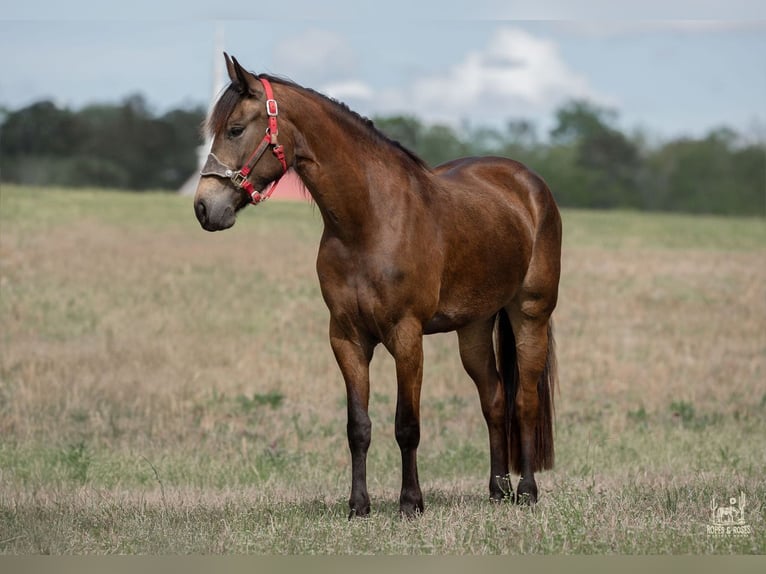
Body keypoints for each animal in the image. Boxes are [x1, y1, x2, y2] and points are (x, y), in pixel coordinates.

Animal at [194, 54, 561, 518]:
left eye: (236, 129)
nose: (204, 207)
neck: (368, 221)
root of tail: (528, 183)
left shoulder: (407, 337)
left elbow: (407, 425)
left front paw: (411, 503)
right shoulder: (347, 337)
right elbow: (358, 426)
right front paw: (358, 505)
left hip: (530, 314)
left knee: (524, 401)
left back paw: (527, 491)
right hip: (474, 326)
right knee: (494, 399)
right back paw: (497, 490)